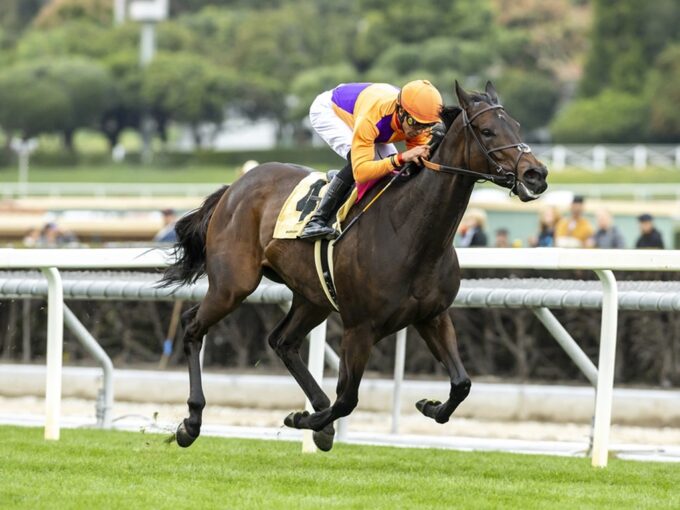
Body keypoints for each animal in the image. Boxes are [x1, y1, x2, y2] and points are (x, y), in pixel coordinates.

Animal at [159, 81, 548, 452]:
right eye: (487, 131)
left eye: (515, 125)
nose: (536, 174)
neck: (410, 232)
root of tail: (234, 187)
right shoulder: (360, 327)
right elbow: (347, 398)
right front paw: (304, 420)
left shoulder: (432, 316)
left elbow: (462, 383)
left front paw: (429, 406)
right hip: (233, 284)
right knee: (193, 326)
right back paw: (191, 422)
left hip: (312, 296)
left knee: (282, 341)